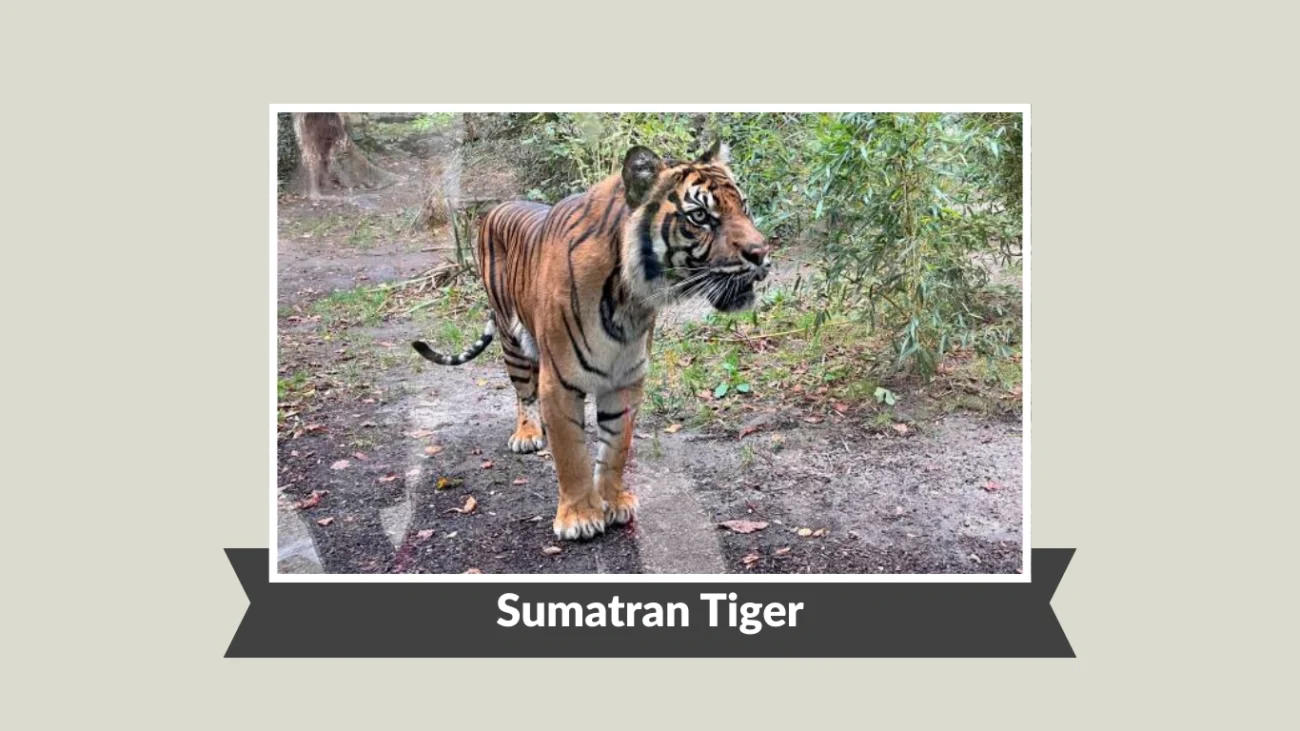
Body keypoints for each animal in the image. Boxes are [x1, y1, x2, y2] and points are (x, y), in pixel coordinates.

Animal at [412, 140, 771, 540]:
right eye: (699, 216)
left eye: (744, 207)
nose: (762, 253)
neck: (629, 300)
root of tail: (496, 207)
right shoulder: (559, 383)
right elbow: (571, 454)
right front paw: (579, 516)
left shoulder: (626, 380)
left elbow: (615, 449)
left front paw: (613, 503)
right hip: (512, 340)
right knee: (523, 393)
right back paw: (527, 434)